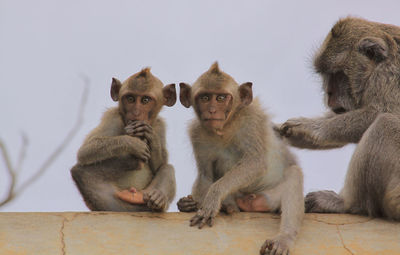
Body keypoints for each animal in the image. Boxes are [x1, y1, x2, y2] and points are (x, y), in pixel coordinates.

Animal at [70, 67, 177, 211]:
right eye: (130, 98)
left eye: (145, 100)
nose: (136, 113)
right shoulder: (113, 117)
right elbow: (85, 151)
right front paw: (133, 142)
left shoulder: (160, 125)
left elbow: (160, 164)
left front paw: (151, 136)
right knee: (81, 171)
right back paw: (132, 163)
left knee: (167, 168)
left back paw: (157, 198)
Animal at [177, 62, 304, 255]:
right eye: (205, 97)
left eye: (221, 98)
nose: (212, 110)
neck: (224, 128)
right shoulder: (197, 133)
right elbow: (205, 175)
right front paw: (195, 204)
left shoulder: (251, 121)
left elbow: (256, 163)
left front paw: (213, 197)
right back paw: (227, 207)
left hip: (271, 198)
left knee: (294, 174)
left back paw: (284, 237)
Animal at [280, 16, 400, 220]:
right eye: (325, 75)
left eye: (337, 74)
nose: (328, 93)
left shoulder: (389, 75)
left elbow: (380, 111)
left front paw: (311, 129)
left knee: (385, 124)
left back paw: (348, 204)